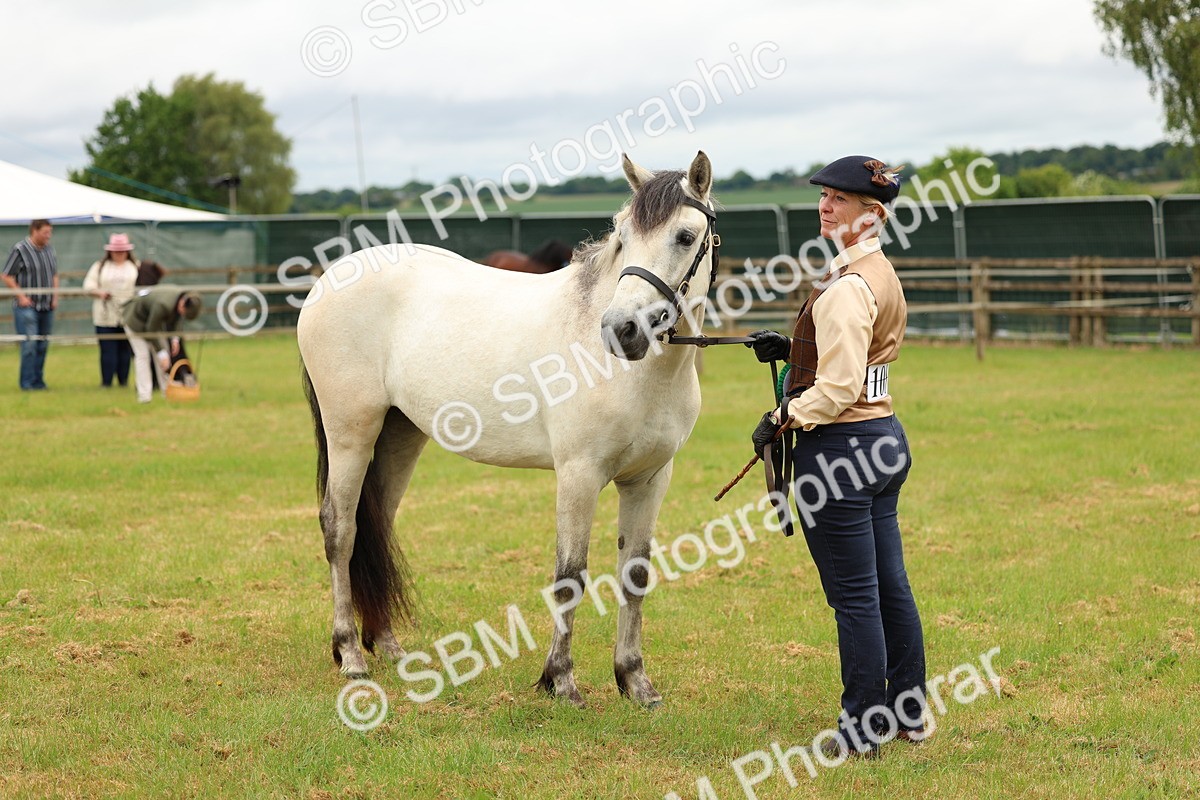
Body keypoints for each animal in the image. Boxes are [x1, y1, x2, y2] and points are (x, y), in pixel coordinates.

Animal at [297, 151, 718, 708]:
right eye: (623, 235)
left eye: (686, 237)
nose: (622, 330)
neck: (638, 373)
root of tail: (329, 281)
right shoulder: (579, 475)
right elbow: (570, 576)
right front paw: (561, 682)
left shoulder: (650, 480)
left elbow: (635, 574)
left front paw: (635, 682)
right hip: (351, 433)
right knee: (340, 530)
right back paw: (350, 655)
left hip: (399, 435)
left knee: (376, 527)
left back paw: (388, 645)